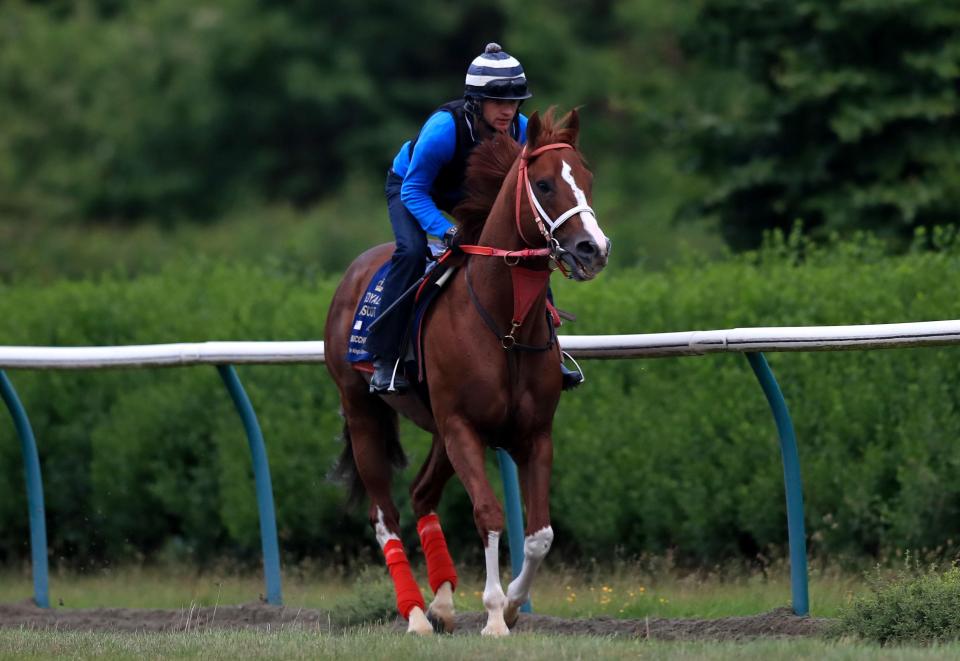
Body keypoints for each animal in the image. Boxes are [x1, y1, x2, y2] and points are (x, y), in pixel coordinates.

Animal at [322, 108, 608, 636]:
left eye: (587, 178)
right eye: (543, 184)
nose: (592, 249)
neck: (505, 325)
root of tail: (354, 272)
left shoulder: (532, 434)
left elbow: (540, 533)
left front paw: (513, 604)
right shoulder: (464, 427)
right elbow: (490, 514)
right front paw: (494, 615)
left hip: (437, 430)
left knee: (421, 494)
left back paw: (442, 602)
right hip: (364, 411)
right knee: (385, 515)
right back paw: (415, 613)